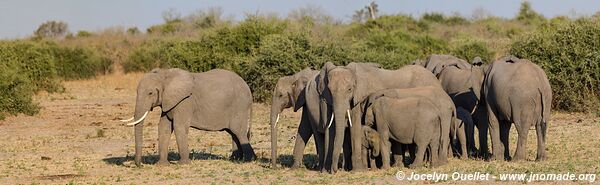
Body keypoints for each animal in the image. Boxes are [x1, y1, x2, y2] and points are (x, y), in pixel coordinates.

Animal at [120, 68, 254, 166]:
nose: (139, 165)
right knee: (233, 133)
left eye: (150, 93)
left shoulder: (184, 101)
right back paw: (235, 159)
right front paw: (162, 165)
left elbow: (179, 127)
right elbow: (164, 127)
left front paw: (183, 164)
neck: (165, 74)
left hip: (240, 106)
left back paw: (248, 161)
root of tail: (248, 89)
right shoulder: (169, 101)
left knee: (238, 131)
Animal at [318, 61, 446, 172]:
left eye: (350, 89)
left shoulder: (359, 95)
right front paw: (326, 171)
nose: (336, 170)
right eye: (329, 90)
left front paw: (358, 171)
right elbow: (331, 127)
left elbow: (355, 125)